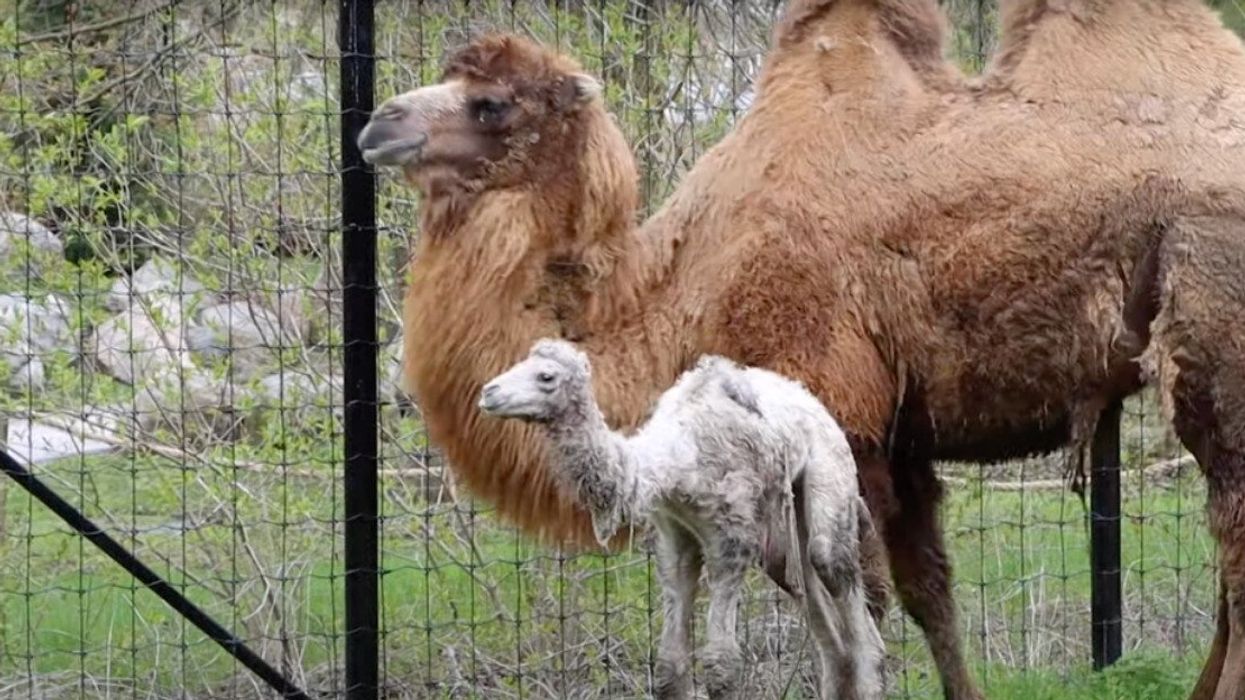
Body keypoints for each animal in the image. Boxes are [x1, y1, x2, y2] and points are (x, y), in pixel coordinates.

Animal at [356, 1, 1245, 698]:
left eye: (491, 104)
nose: (376, 122)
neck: (676, 294)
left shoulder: (833, 416)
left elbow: (854, 602)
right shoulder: (894, 435)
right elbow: (927, 593)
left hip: (1214, 326)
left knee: (1234, 549)